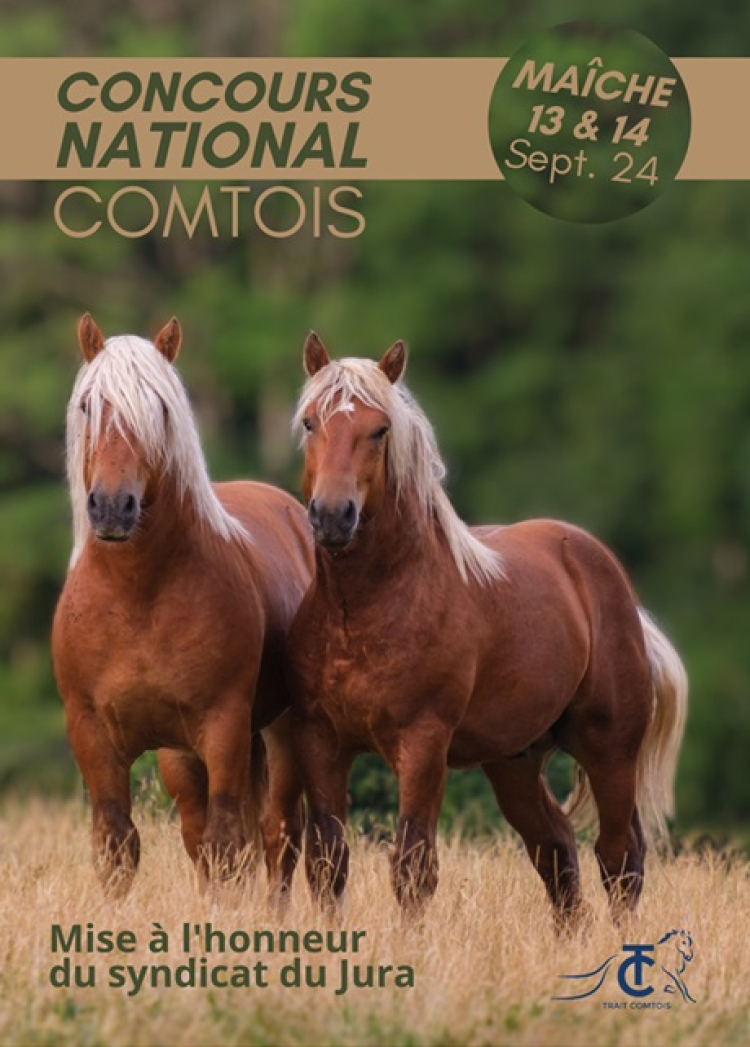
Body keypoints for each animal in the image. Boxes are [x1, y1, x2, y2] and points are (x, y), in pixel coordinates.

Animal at [52, 315, 313, 896]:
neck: (136, 596)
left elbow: (228, 846)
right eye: (88, 405)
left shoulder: (224, 727)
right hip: (180, 757)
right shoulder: (93, 735)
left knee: (275, 837)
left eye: (161, 408)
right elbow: (117, 847)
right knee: (203, 837)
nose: (113, 507)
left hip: (280, 734)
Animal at [285, 332, 688, 923]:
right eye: (311, 422)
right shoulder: (320, 741)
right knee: (556, 849)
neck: (364, 611)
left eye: (379, 430)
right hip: (514, 762)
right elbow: (328, 861)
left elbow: (413, 866)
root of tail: (601, 569)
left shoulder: (424, 744)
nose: (333, 516)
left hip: (609, 747)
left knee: (619, 855)